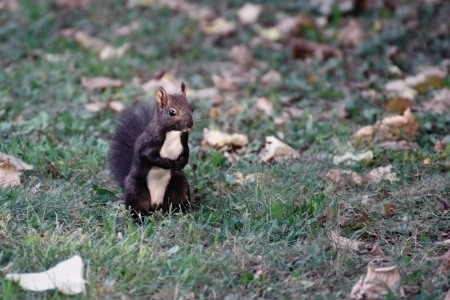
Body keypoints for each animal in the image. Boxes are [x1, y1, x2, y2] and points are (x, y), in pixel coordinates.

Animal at [110, 82, 194, 218]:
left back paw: (180, 213)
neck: (173, 132)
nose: (190, 124)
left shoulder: (184, 141)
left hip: (179, 183)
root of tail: (156, 205)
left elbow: (186, 152)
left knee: (177, 201)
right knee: (137, 207)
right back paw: (139, 219)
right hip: (135, 189)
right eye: (172, 112)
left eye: (191, 109)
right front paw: (169, 163)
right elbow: (149, 156)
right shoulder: (149, 143)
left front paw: (182, 163)